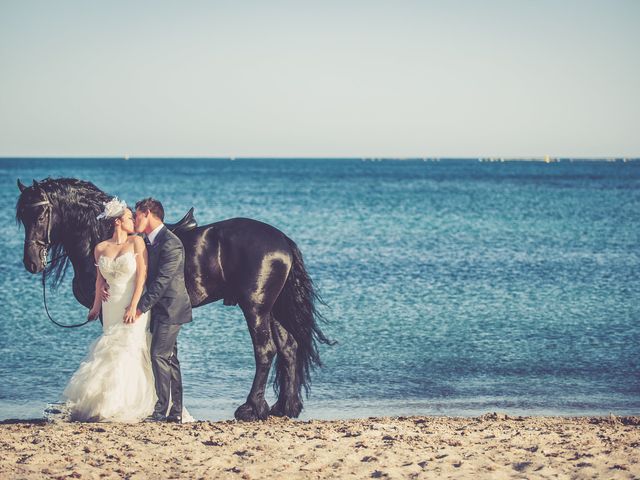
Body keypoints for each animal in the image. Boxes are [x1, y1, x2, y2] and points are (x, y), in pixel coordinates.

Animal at [15, 176, 336, 420]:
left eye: (41, 214)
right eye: (22, 217)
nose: (31, 262)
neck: (100, 235)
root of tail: (282, 240)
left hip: (256, 307)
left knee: (265, 351)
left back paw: (251, 408)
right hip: (274, 308)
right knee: (289, 348)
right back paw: (284, 408)